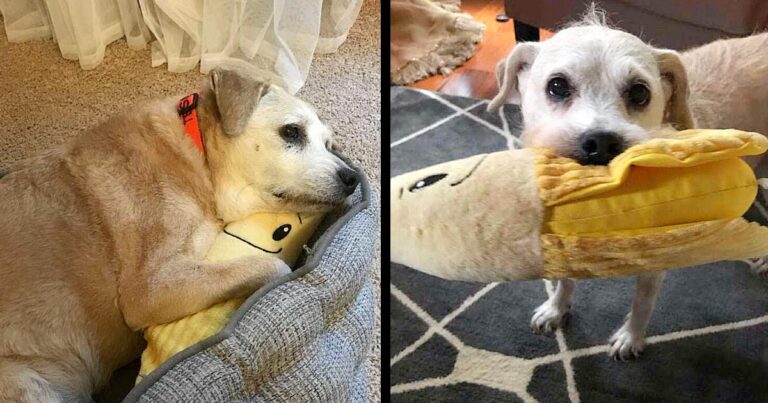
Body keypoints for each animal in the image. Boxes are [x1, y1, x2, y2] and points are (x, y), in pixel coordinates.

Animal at [0, 68, 358, 402]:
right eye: (291, 132)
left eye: (329, 144)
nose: (352, 177)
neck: (200, 160)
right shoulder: (150, 290)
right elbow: (271, 267)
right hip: (27, 383)